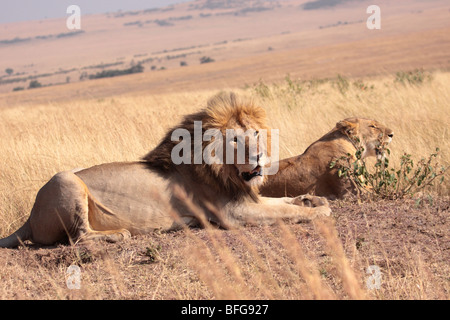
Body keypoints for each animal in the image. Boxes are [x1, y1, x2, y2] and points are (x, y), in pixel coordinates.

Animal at [0, 92, 330, 248]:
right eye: (236, 140)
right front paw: (318, 211)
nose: (260, 158)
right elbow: (284, 212)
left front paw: (312, 199)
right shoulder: (232, 214)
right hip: (66, 179)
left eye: (257, 134)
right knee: (79, 236)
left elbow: (282, 201)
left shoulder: (248, 198)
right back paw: (119, 234)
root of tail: (29, 217)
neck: (226, 172)